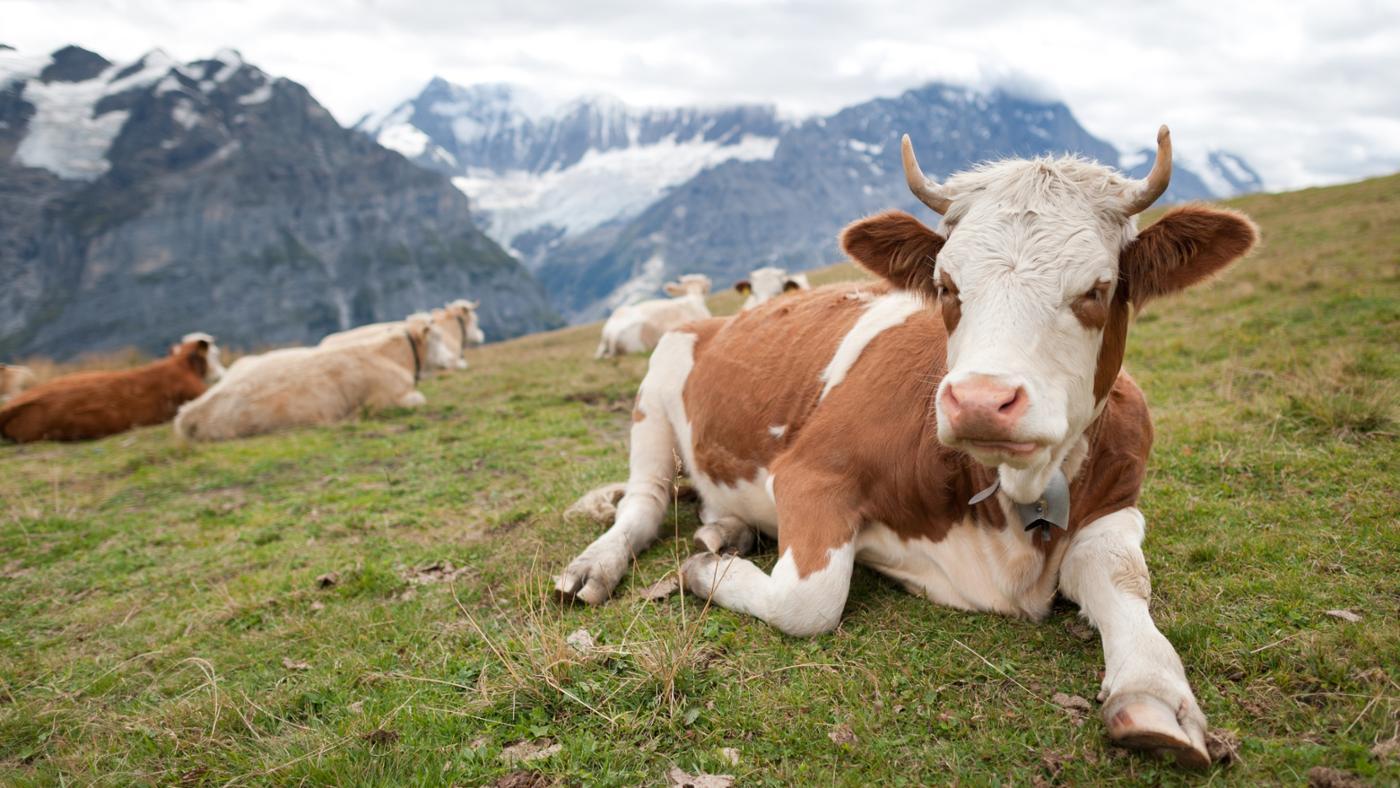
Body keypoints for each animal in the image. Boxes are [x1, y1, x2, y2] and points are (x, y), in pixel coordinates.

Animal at [174, 315, 453, 441]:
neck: (391, 356)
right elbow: (419, 400)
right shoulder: (386, 400)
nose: (454, 360)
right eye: (437, 337)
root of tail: (189, 413)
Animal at [554, 127, 1259, 768]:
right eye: (947, 286)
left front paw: (1154, 693)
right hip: (655, 390)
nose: (980, 399)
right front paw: (703, 575)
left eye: (1097, 288)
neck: (1008, 508)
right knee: (643, 503)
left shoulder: (1120, 499)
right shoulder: (809, 471)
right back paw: (601, 565)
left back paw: (722, 532)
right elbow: (808, 602)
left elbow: (1119, 576)